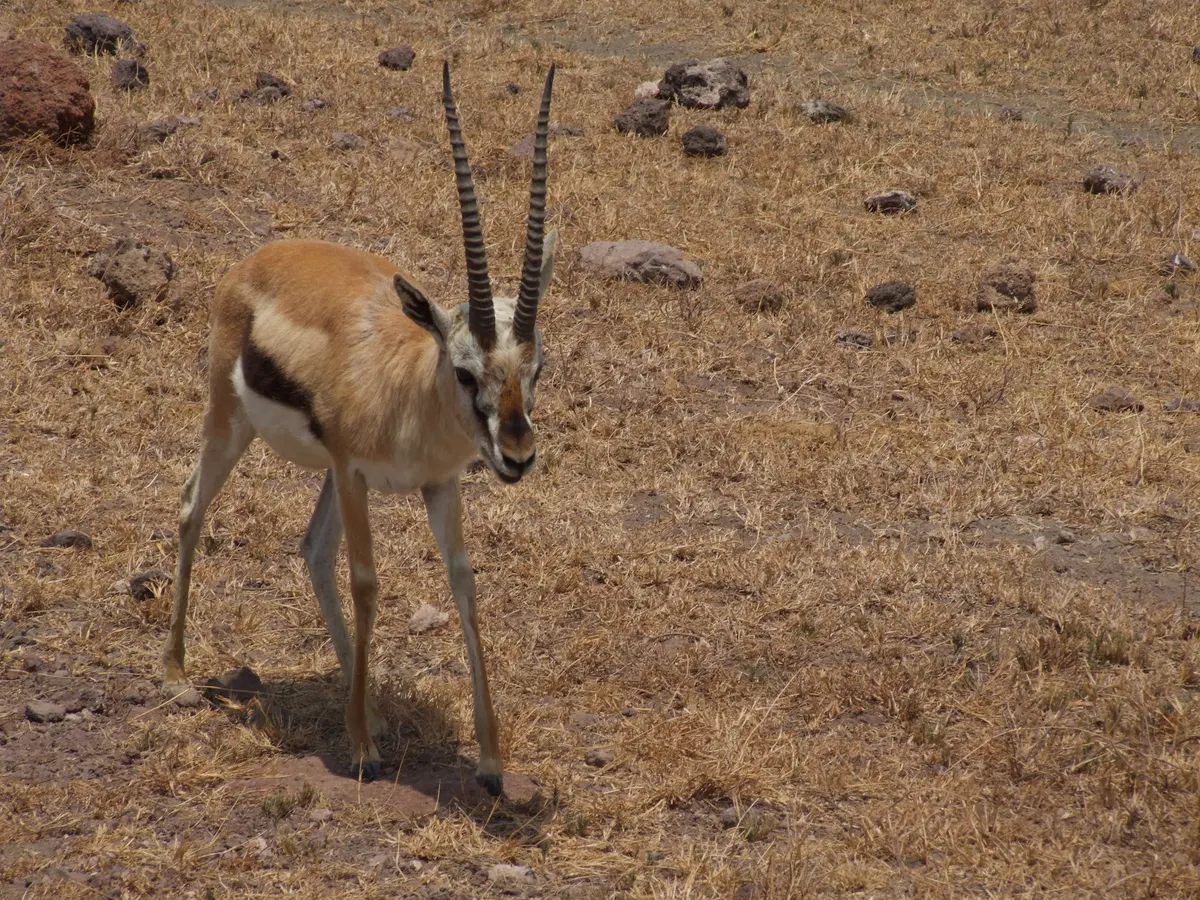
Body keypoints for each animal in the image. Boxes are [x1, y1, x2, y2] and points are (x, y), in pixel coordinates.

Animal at [160, 61, 558, 796]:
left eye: (537, 368)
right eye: (466, 371)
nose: (517, 453)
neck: (409, 393)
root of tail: (255, 261)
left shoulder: (439, 485)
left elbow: (463, 584)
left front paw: (490, 764)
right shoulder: (354, 473)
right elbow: (368, 581)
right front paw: (364, 752)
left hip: (318, 472)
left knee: (312, 550)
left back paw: (363, 702)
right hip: (230, 424)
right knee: (190, 507)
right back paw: (176, 673)